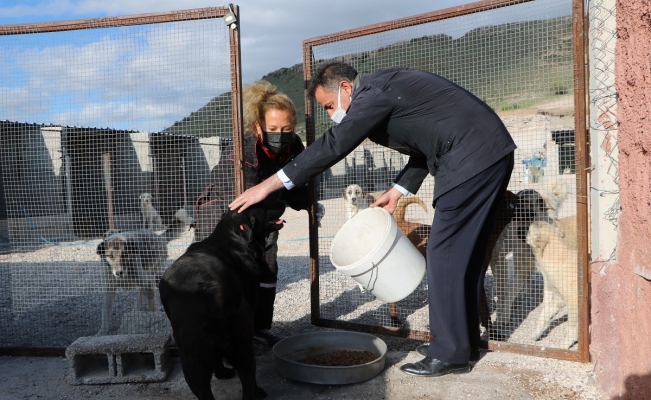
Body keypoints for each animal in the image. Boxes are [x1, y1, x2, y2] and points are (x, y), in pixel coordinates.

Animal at [159, 200, 286, 400]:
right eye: (263, 204)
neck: (232, 241)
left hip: (193, 358)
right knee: (248, 378)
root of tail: (213, 296)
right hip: (242, 340)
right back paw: (257, 391)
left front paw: (221, 373)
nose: (284, 201)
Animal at [528, 214, 580, 348]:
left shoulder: (574, 303)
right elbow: (544, 312)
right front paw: (536, 333)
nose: (533, 219)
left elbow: (572, 327)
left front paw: (567, 343)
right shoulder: (560, 298)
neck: (560, 259)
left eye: (529, 230)